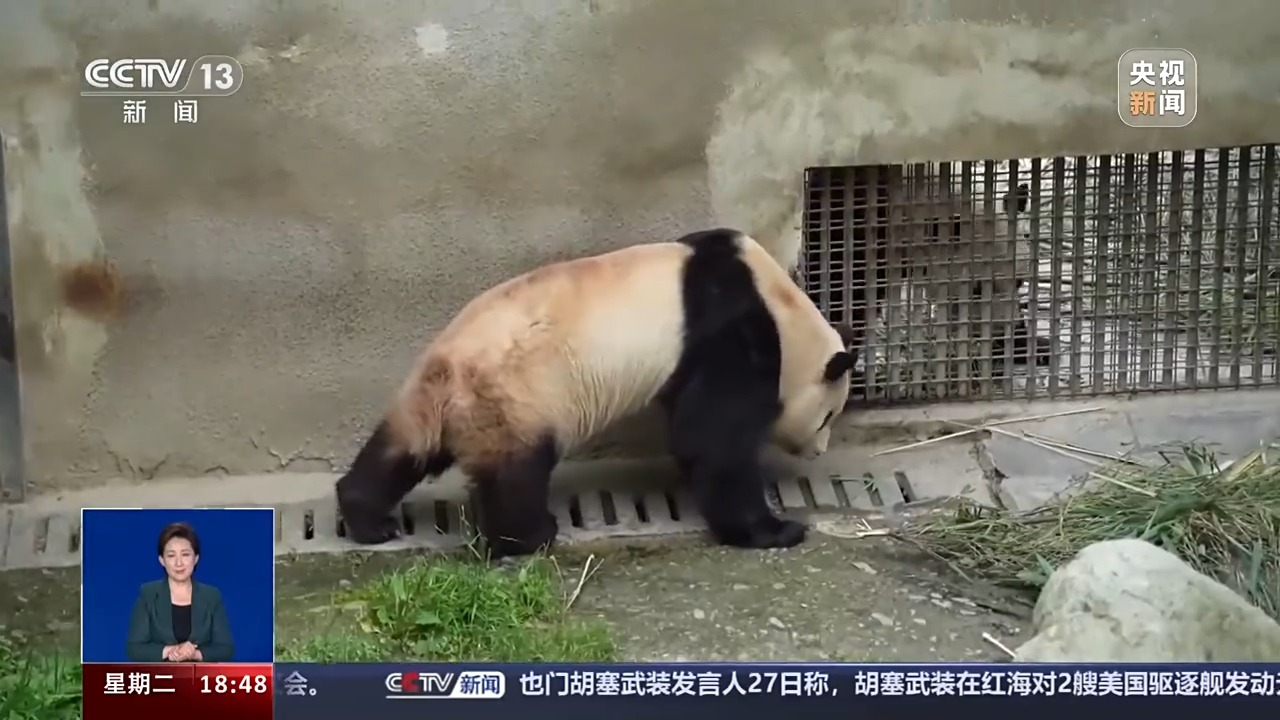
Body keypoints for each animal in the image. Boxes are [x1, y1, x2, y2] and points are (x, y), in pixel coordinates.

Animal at [336, 228, 856, 559]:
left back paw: (368, 519)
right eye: (828, 417)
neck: (779, 303)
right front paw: (774, 529)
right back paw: (530, 536)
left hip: (434, 404)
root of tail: (445, 374)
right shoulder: (728, 330)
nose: (819, 451)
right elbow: (715, 438)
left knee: (399, 452)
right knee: (515, 473)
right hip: (516, 399)